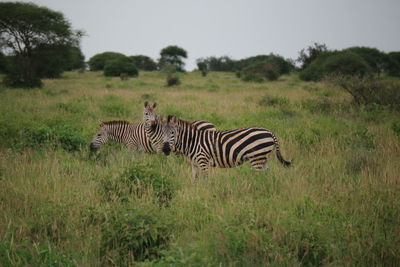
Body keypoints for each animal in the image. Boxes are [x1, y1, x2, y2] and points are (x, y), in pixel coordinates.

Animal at [152, 115, 290, 180]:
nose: (165, 149)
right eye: (161, 133)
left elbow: (205, 180)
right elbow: (194, 179)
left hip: (257, 157)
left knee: (259, 176)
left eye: (173, 133)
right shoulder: (194, 163)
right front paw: (194, 193)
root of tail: (270, 132)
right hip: (263, 158)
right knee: (266, 176)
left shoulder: (203, 161)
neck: (192, 142)